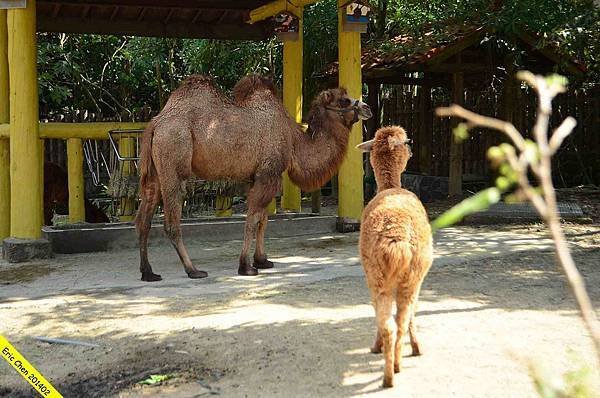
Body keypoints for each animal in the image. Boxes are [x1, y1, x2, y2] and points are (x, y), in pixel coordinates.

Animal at [135, 74, 370, 280]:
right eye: (343, 100)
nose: (366, 107)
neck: (293, 139)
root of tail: (155, 123)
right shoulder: (269, 173)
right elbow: (253, 219)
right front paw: (246, 266)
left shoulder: (255, 177)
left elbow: (263, 219)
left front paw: (262, 260)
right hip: (173, 161)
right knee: (171, 222)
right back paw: (193, 270)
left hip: (154, 173)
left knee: (144, 219)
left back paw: (148, 272)